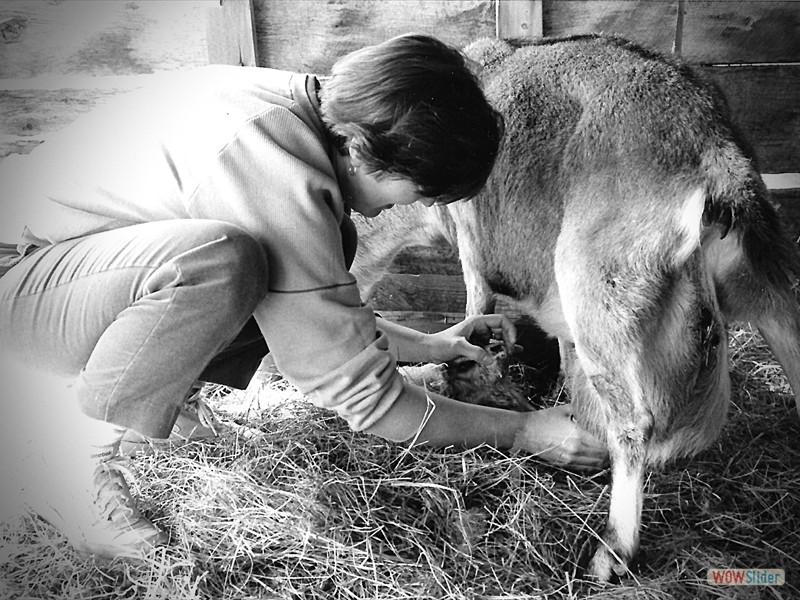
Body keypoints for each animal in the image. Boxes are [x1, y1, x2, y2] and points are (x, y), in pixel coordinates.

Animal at [354, 32, 800, 580]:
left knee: (632, 419)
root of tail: (711, 147)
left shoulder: (471, 240)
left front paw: (472, 374)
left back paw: (613, 550)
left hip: (594, 281)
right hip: (761, 277)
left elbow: (477, 302)